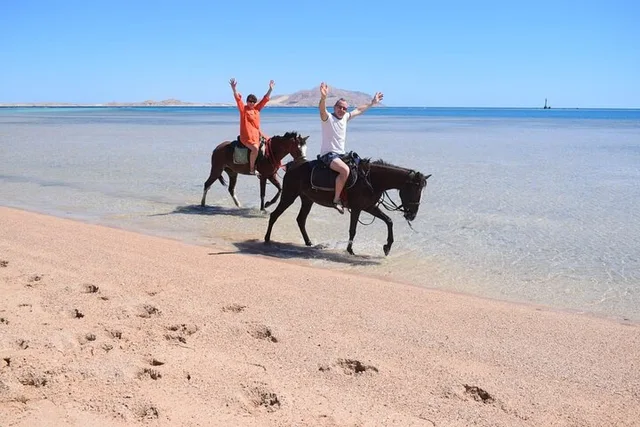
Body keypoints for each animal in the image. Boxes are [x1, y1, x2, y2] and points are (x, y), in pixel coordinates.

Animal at [264, 156, 431, 255]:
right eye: (414, 190)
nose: (412, 215)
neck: (371, 179)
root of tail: (292, 165)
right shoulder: (357, 208)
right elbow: (353, 230)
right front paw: (350, 250)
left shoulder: (369, 207)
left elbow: (389, 221)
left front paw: (387, 247)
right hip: (289, 196)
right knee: (274, 215)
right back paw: (266, 239)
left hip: (307, 199)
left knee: (301, 220)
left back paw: (309, 243)